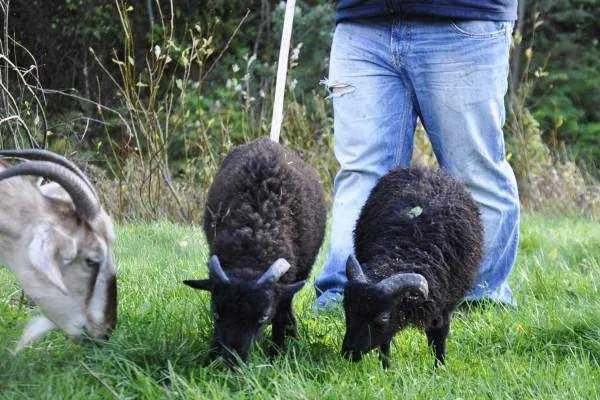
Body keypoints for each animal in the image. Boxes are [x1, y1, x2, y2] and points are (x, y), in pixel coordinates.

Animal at [183, 138, 326, 362]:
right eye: (216, 313)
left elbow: (283, 312)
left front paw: (278, 353)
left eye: (263, 317)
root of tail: (267, 141)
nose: (231, 361)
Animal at [342, 165, 482, 366]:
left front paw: (439, 367)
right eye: (347, 309)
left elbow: (438, 336)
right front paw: (386, 367)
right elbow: (386, 340)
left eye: (382, 318)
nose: (349, 353)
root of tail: (425, 169)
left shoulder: (444, 303)